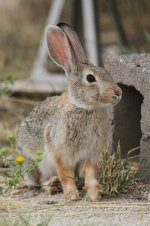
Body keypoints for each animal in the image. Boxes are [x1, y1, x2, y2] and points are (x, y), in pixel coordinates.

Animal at [16, 22, 122, 200]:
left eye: (106, 72)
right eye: (90, 78)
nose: (118, 93)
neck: (84, 107)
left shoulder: (90, 154)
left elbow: (90, 174)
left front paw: (95, 194)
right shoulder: (60, 153)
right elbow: (66, 174)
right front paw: (72, 195)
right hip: (36, 164)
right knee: (40, 182)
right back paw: (52, 185)